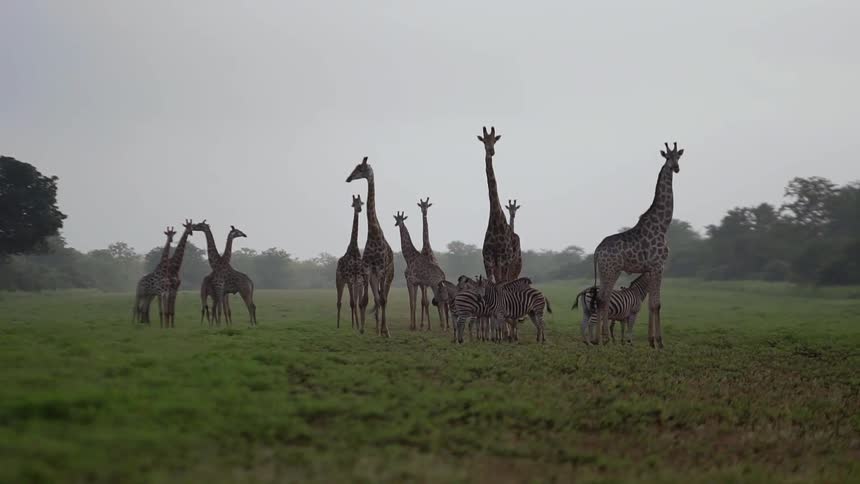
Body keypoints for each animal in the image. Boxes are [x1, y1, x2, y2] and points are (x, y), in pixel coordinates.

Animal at [346, 156, 394, 337]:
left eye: (361, 168)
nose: (348, 178)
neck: (373, 234)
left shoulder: (381, 269)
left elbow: (382, 299)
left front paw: (385, 331)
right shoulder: (367, 270)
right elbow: (365, 300)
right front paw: (362, 329)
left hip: (388, 275)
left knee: (384, 298)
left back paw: (384, 330)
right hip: (374, 277)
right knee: (377, 298)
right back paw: (378, 329)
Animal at [478, 126, 519, 283]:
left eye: (494, 140)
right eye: (484, 141)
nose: (491, 151)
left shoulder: (504, 258)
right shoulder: (488, 258)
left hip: (513, 263)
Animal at [593, 142, 684, 348]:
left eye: (679, 157)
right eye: (667, 157)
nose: (676, 168)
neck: (663, 225)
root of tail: (597, 250)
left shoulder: (652, 268)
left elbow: (651, 304)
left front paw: (652, 341)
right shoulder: (658, 265)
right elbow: (656, 304)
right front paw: (660, 342)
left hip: (604, 271)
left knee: (602, 298)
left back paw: (600, 339)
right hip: (612, 270)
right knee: (603, 299)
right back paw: (603, 339)